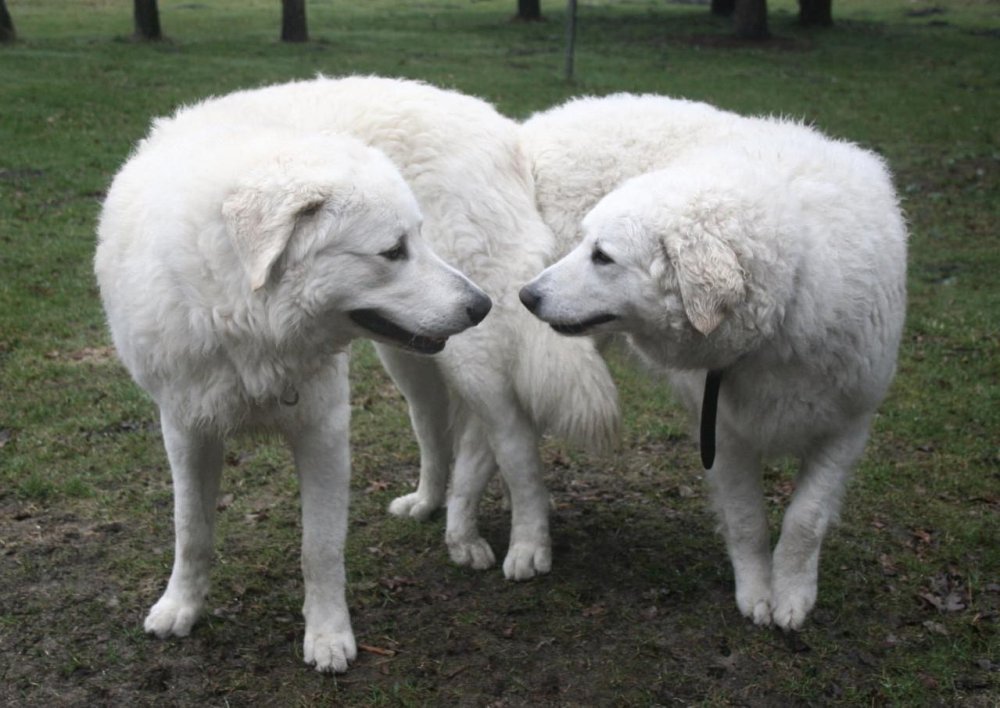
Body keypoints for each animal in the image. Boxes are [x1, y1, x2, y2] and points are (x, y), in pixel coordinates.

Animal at [95, 115, 494, 668]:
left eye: (418, 238)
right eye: (394, 251)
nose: (482, 305)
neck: (244, 319)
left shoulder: (323, 431)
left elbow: (319, 548)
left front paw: (327, 635)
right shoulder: (186, 428)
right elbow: (190, 530)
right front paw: (180, 607)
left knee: (476, 442)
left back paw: (465, 534)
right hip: (409, 362)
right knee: (432, 429)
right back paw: (426, 502)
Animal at [520, 101, 912, 632]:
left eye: (601, 256)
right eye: (585, 244)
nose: (527, 295)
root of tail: (525, 130)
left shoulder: (847, 426)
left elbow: (806, 520)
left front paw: (792, 594)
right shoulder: (725, 435)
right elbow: (747, 521)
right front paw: (756, 593)